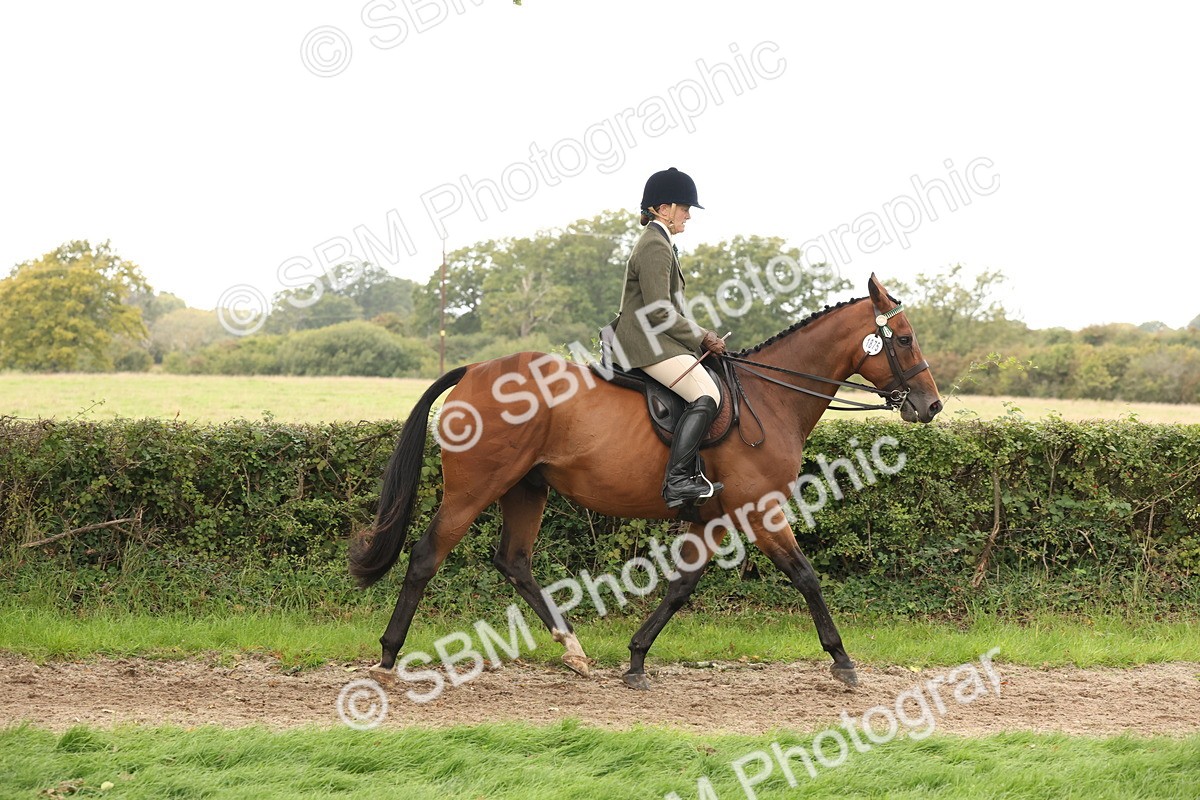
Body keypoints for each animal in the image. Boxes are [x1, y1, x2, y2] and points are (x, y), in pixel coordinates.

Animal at [350, 273, 942, 690]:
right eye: (904, 339)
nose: (932, 406)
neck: (770, 399)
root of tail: (474, 369)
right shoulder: (760, 509)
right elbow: (806, 576)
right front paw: (842, 660)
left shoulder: (715, 517)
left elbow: (681, 586)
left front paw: (635, 659)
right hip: (475, 488)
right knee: (427, 556)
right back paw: (388, 657)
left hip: (528, 488)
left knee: (514, 561)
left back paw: (573, 651)